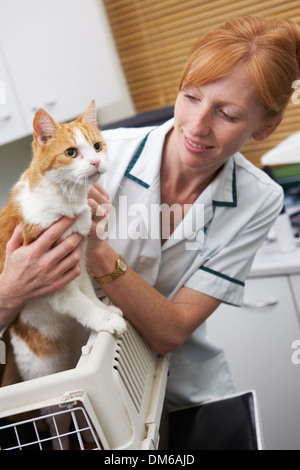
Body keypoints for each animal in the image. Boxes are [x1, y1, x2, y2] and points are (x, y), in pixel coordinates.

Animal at [0, 98, 126, 386]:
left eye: (97, 146)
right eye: (71, 152)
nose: (95, 162)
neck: (65, 200)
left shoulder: (78, 263)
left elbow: (88, 294)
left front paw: (105, 309)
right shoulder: (54, 284)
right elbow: (82, 305)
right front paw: (104, 319)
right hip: (42, 362)